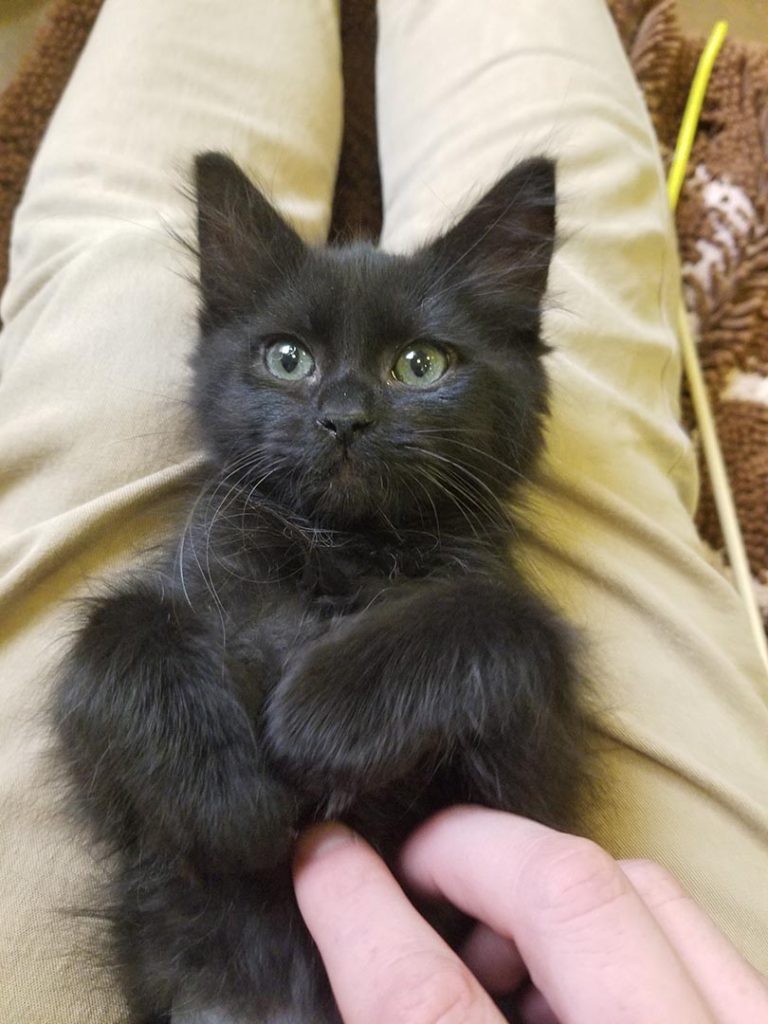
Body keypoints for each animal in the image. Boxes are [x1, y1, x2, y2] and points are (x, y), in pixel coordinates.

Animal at [51, 151, 589, 1024]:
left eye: (421, 365)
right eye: (286, 358)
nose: (343, 417)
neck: (336, 554)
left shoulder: (534, 788)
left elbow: (504, 618)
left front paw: (321, 717)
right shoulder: (125, 811)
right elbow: (118, 627)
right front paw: (228, 799)